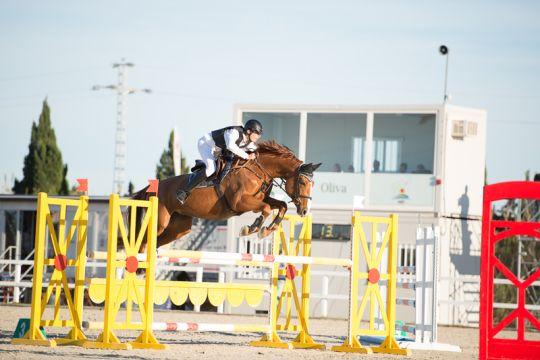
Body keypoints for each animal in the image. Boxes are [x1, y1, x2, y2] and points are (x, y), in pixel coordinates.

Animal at [133, 141, 320, 250]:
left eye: (313, 184)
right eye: (302, 182)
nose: (305, 211)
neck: (259, 170)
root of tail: (153, 187)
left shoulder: (260, 199)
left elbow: (282, 205)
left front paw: (267, 230)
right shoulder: (240, 203)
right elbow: (267, 208)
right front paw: (251, 228)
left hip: (178, 228)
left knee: (155, 241)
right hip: (160, 222)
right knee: (142, 240)